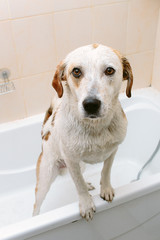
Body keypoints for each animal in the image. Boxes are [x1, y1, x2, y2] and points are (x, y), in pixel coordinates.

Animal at [32, 44, 132, 220]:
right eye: (76, 71)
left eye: (109, 70)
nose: (91, 104)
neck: (95, 128)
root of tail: (45, 132)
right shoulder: (71, 160)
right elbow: (78, 185)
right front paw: (86, 203)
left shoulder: (113, 151)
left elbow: (106, 171)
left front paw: (106, 189)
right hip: (46, 178)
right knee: (36, 204)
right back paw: (35, 218)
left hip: (82, 165)